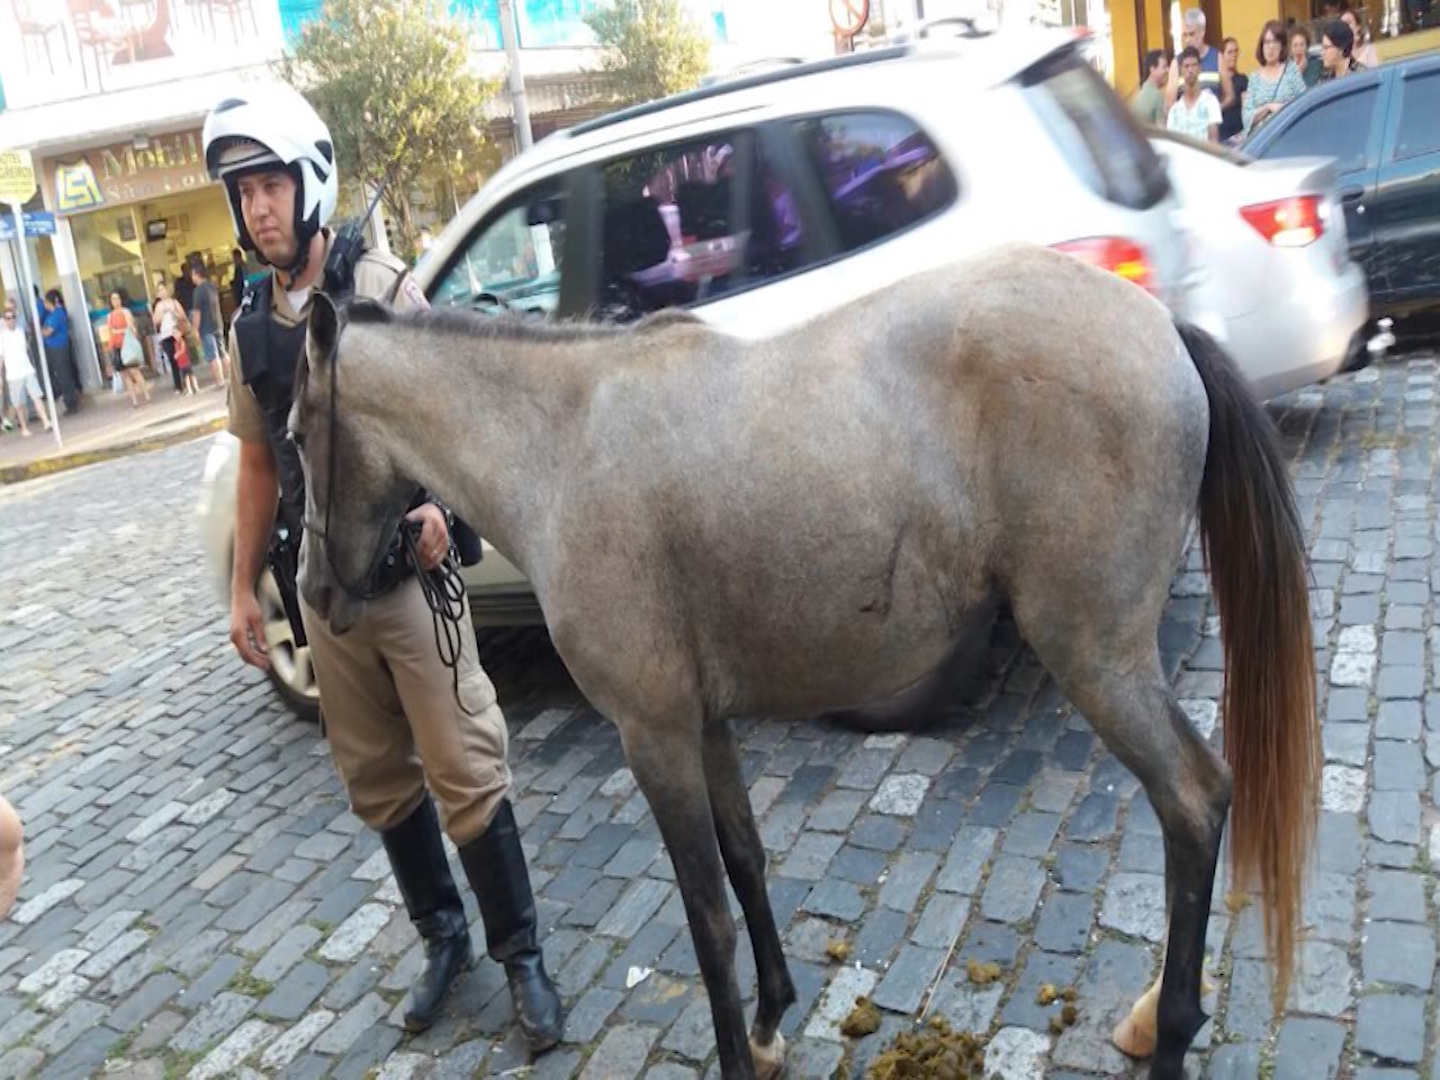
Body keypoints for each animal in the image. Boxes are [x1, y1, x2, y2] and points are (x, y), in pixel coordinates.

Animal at [292, 247, 1319, 1080]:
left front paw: (736, 1050)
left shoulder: (653, 735)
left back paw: (1170, 1026)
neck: (565, 446)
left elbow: (706, 916)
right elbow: (746, 861)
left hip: (1098, 658)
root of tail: (1164, 327)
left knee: (1195, 801)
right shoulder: (702, 722)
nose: (310, 594)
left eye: (299, 432)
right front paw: (769, 1021)